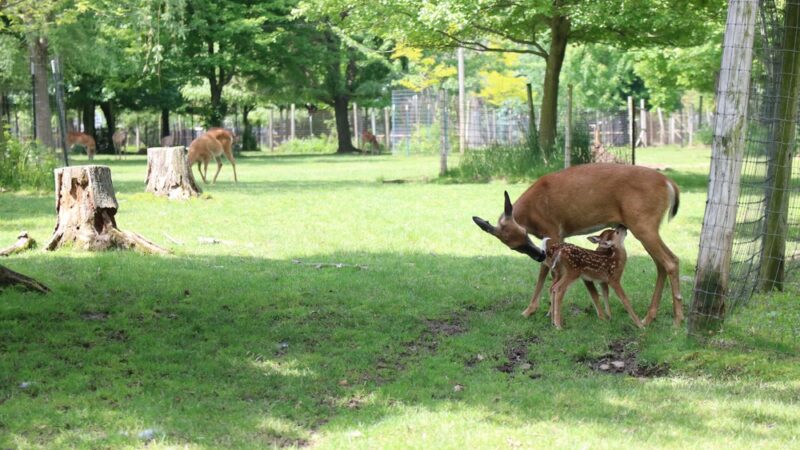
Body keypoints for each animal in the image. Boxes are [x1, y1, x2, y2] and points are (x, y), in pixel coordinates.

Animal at [472, 163, 683, 327]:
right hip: (646, 226)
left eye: (524, 233)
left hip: (643, 223)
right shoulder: (557, 238)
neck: (532, 212)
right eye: (513, 247)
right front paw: (538, 311)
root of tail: (670, 184)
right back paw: (649, 317)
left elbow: (546, 272)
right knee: (662, 263)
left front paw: (539, 312)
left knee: (670, 261)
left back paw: (677, 321)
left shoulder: (553, 231)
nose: (537, 255)